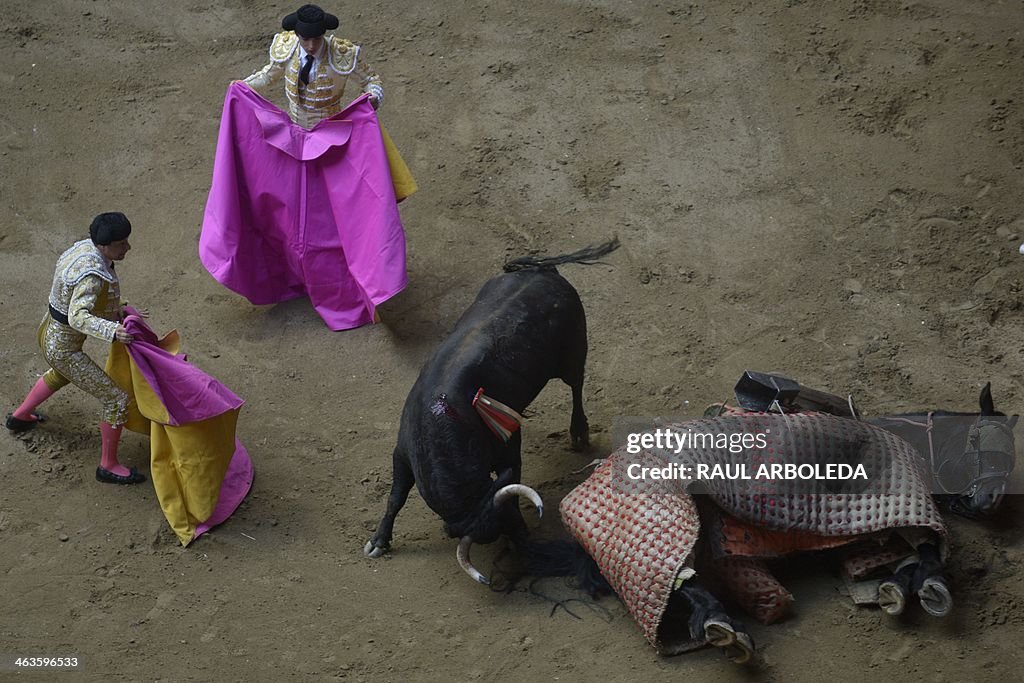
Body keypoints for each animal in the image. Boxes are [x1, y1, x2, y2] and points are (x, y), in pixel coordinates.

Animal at [362, 237, 614, 581]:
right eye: (499, 531)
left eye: (511, 519)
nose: (525, 539)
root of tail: (541, 271)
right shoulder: (402, 454)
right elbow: (395, 497)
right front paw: (378, 541)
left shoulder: (508, 447)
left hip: (573, 353)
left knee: (576, 385)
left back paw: (579, 434)